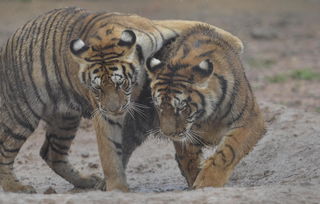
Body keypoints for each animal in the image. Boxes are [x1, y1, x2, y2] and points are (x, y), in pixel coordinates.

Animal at [0, 5, 210, 192]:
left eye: (121, 83)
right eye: (97, 88)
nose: (114, 109)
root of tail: (9, 43)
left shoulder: (161, 27)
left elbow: (197, 25)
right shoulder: (104, 114)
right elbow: (109, 153)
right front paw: (118, 189)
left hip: (65, 120)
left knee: (51, 152)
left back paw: (86, 181)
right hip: (21, 115)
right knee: (5, 150)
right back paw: (17, 187)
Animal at [145, 24, 264, 190]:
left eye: (181, 107)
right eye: (158, 105)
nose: (168, 134)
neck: (209, 116)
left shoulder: (251, 119)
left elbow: (228, 151)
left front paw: (207, 183)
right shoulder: (186, 135)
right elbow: (188, 159)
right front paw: (194, 181)